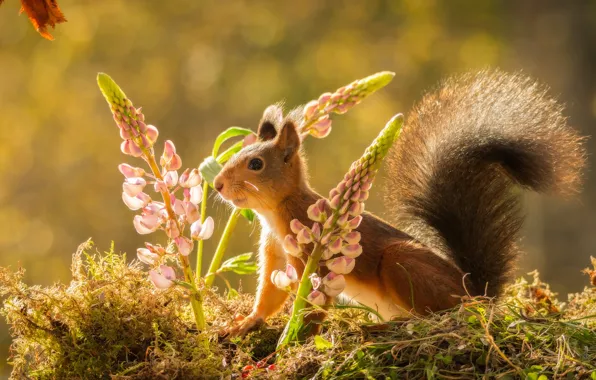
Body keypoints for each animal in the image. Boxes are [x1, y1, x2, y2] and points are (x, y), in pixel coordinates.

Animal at [213, 69, 584, 336]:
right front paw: (247, 322)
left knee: (435, 316)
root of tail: (474, 293)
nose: (217, 184)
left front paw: (296, 337)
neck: (275, 211)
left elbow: (314, 303)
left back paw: (394, 324)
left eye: (256, 164)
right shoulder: (275, 252)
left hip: (401, 263)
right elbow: (270, 295)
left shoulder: (316, 258)